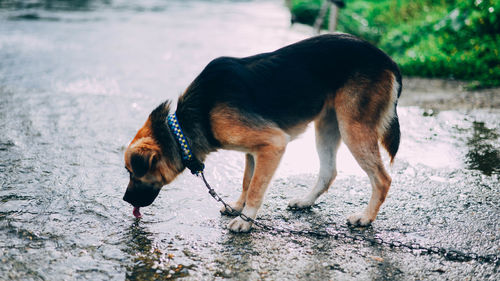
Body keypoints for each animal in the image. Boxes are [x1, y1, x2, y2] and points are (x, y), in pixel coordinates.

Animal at [124, 34, 402, 231]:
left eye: (131, 172)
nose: (126, 201)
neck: (188, 122)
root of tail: (387, 60)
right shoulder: (252, 152)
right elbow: (247, 182)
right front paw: (237, 206)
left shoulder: (273, 144)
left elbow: (256, 188)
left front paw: (245, 220)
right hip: (327, 126)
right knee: (328, 172)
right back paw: (306, 202)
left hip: (353, 128)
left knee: (382, 179)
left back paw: (365, 218)